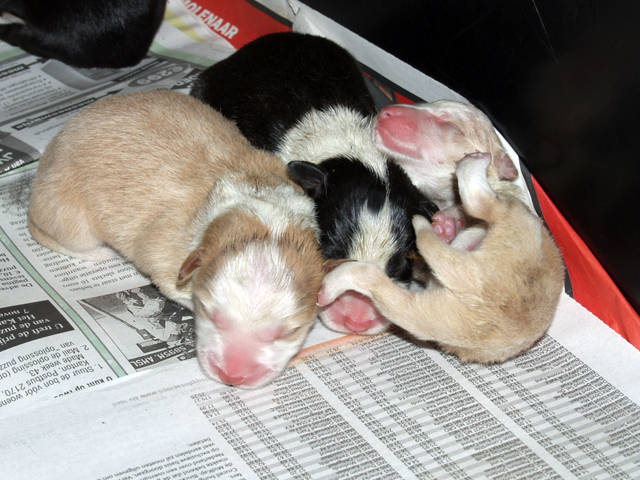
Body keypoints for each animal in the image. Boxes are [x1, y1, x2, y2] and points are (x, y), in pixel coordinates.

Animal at [28, 90, 323, 388]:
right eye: (208, 311)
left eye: (290, 330)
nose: (231, 376)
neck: (264, 213)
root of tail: (54, 146)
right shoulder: (166, 261)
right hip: (69, 217)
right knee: (48, 234)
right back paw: (97, 252)